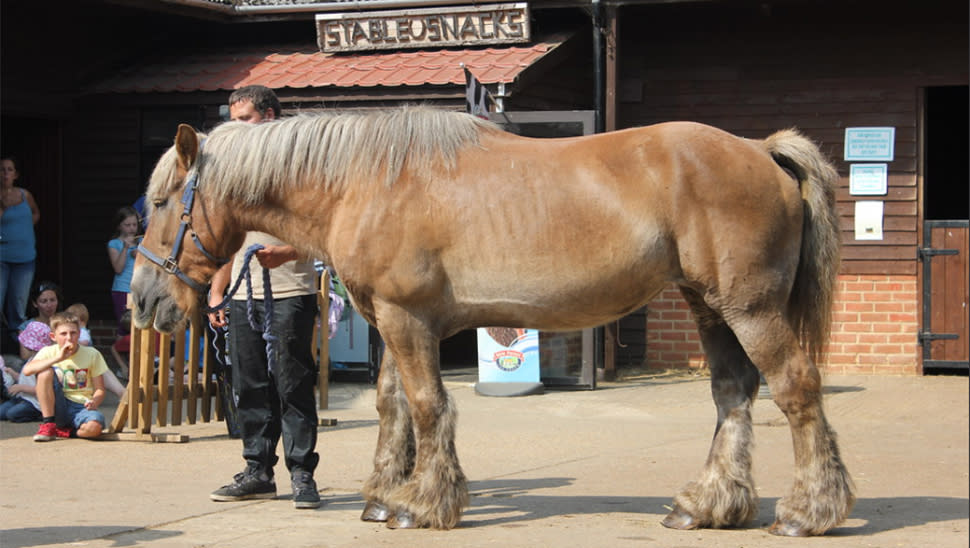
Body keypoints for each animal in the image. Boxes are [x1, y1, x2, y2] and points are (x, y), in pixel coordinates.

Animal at [131, 106, 854, 536]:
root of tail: (761, 150)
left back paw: (809, 511)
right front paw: (386, 494)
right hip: (712, 308)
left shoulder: (407, 320)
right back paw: (707, 504)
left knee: (796, 390)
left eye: (162, 202)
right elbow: (395, 407)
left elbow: (428, 406)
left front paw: (423, 503)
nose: (143, 301)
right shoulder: (392, 322)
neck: (364, 182)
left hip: (750, 310)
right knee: (733, 395)